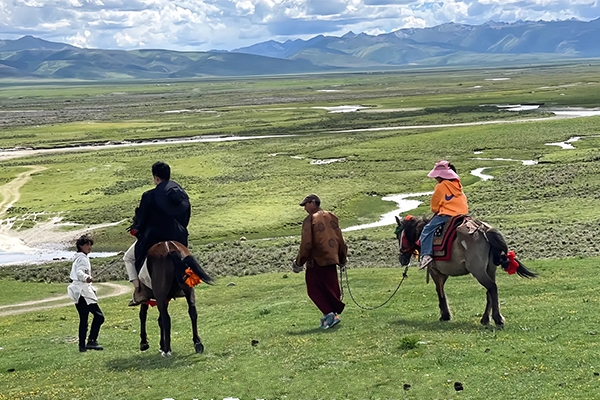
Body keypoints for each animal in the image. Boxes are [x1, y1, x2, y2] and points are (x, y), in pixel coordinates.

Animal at [396, 216, 536, 328]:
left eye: (398, 236)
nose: (402, 259)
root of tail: (483, 230)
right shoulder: (443, 274)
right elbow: (441, 290)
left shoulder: (434, 271)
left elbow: (439, 291)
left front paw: (445, 315)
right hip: (490, 269)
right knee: (490, 291)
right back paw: (485, 319)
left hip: (478, 271)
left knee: (492, 287)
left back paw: (497, 319)